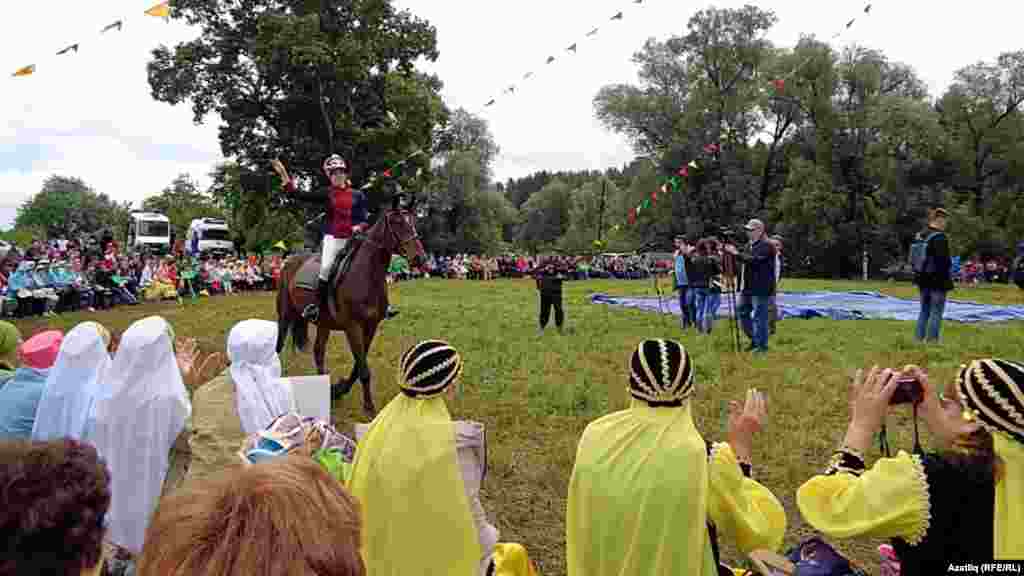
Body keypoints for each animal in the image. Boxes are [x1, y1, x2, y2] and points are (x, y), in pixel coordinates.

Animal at [274, 201, 425, 412]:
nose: (420, 258)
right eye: (397, 222)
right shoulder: (352, 326)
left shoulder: (370, 326)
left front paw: (340, 389)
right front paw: (369, 406)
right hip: (285, 313)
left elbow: (358, 365)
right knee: (279, 345)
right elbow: (362, 368)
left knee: (318, 352)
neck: (366, 276)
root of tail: (290, 260)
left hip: (323, 323)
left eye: (413, 221)